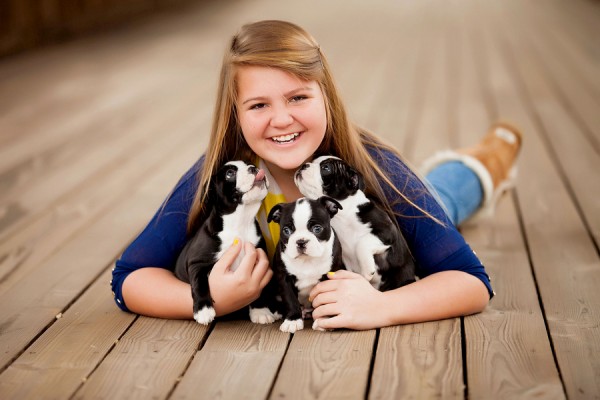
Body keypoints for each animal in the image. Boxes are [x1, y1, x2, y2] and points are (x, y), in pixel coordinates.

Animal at [175, 161, 280, 326]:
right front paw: (203, 310)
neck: (240, 222)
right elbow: (200, 284)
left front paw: (260, 311)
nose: (254, 168)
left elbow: (259, 290)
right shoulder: (196, 264)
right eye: (230, 174)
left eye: (250, 164)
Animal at [268, 196, 342, 332]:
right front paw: (292, 320)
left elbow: (325, 300)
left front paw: (323, 319)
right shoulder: (284, 278)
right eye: (286, 230)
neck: (307, 260)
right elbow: (290, 299)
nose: (301, 241)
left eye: (317, 229)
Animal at [292, 155, 414, 290]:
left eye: (326, 168)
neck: (341, 216)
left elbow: (362, 243)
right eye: (312, 161)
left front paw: (367, 270)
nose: (304, 165)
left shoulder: (387, 231)